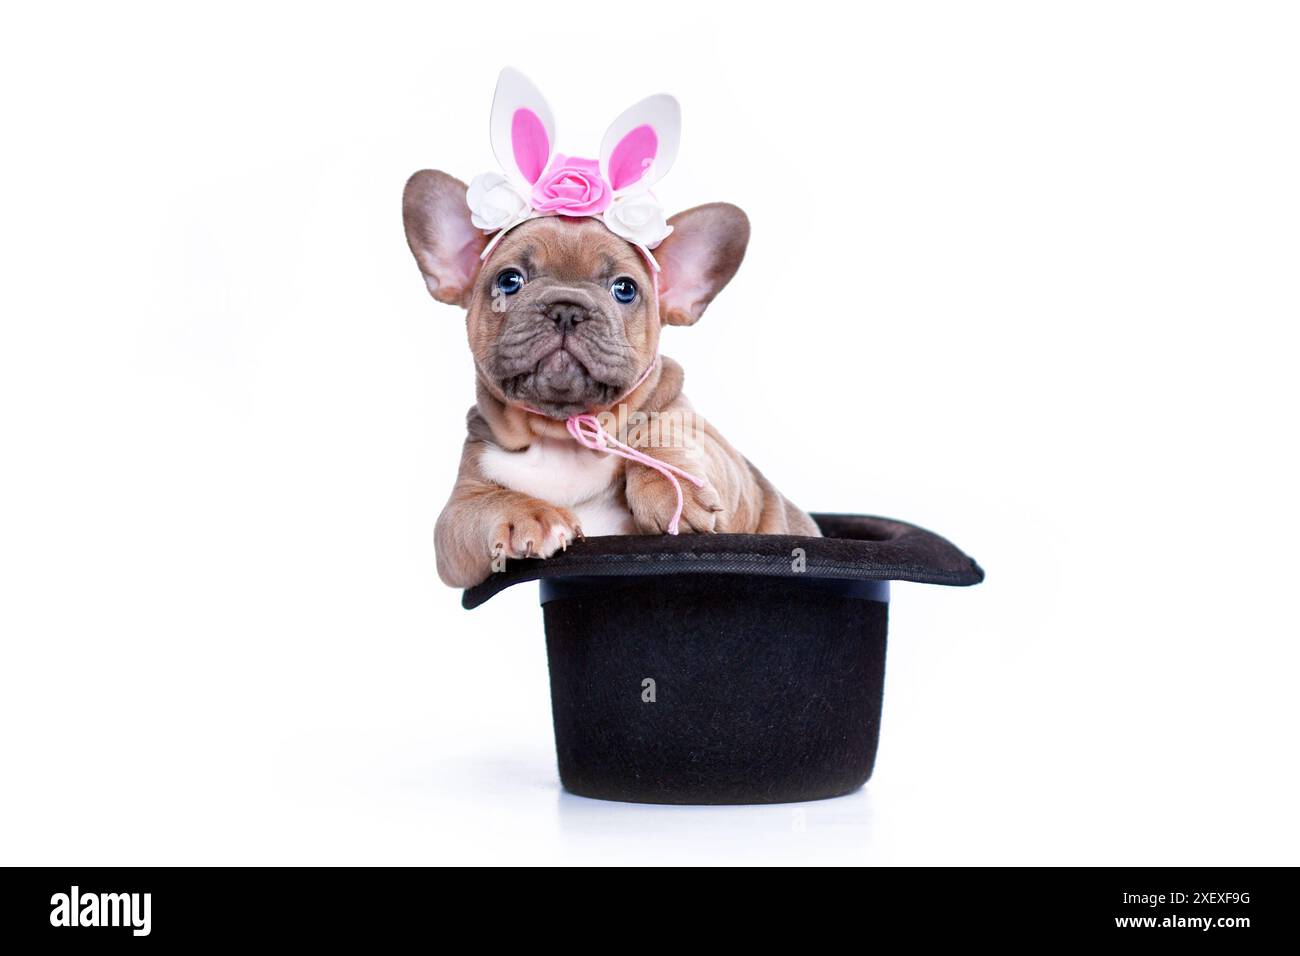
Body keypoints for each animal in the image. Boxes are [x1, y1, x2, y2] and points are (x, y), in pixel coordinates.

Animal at [400, 171, 816, 590]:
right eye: (509, 280)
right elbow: (482, 505)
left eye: (625, 289)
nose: (566, 308)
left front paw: (671, 487)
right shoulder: (457, 519)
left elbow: (665, 433)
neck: (562, 437)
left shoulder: (726, 465)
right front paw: (530, 515)